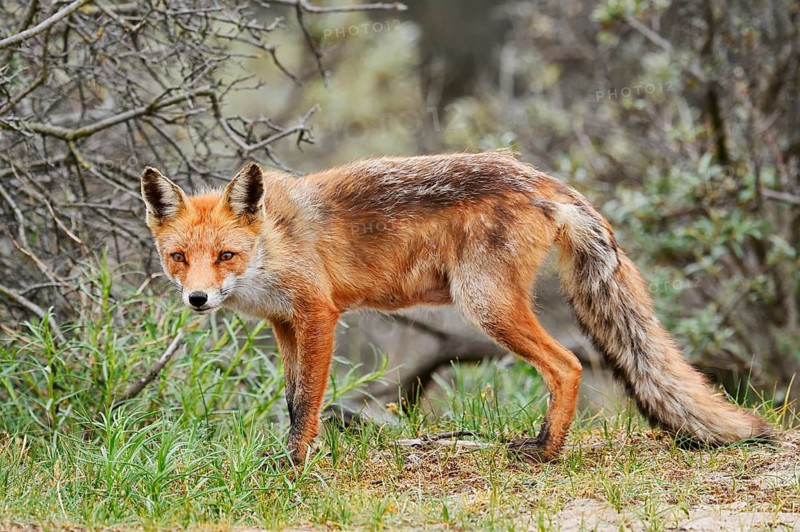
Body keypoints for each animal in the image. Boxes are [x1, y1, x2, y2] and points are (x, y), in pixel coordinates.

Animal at [140, 150, 772, 462]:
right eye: (179, 257)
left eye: (225, 255)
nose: (197, 298)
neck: (272, 244)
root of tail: (542, 178)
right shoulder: (284, 324)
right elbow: (293, 399)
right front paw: (286, 457)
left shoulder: (318, 315)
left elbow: (306, 406)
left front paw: (294, 463)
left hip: (484, 304)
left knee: (567, 364)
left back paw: (544, 451)